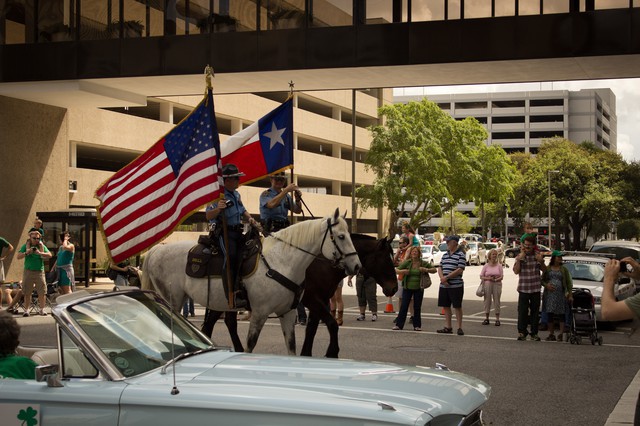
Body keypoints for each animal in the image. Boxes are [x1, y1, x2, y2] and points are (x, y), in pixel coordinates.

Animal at [144, 208, 360, 354]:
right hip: (172, 300)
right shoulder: (259, 313)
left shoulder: (288, 312)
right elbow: (251, 345)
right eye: (341, 236)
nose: (357, 266)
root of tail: (156, 250)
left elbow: (291, 347)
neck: (282, 261)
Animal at [202, 235, 398, 358]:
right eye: (386, 259)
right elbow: (332, 324)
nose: (394, 288)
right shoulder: (313, 300)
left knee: (225, 322)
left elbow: (312, 328)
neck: (322, 263)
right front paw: (332, 352)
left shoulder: (320, 300)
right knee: (215, 322)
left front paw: (306, 353)